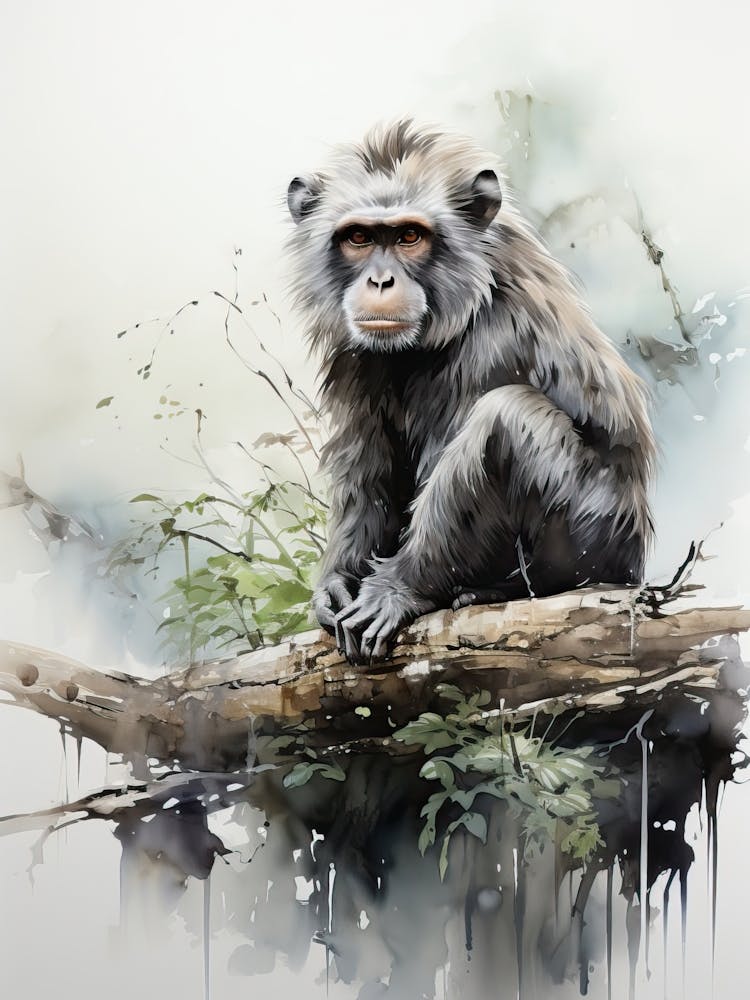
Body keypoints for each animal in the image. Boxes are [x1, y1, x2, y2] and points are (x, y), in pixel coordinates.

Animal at [286, 119, 655, 663]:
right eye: (358, 237)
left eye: (409, 236)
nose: (380, 280)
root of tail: (634, 566)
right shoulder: (356, 357)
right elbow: (368, 464)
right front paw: (337, 581)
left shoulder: (493, 340)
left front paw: (396, 589)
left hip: (596, 543)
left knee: (508, 415)